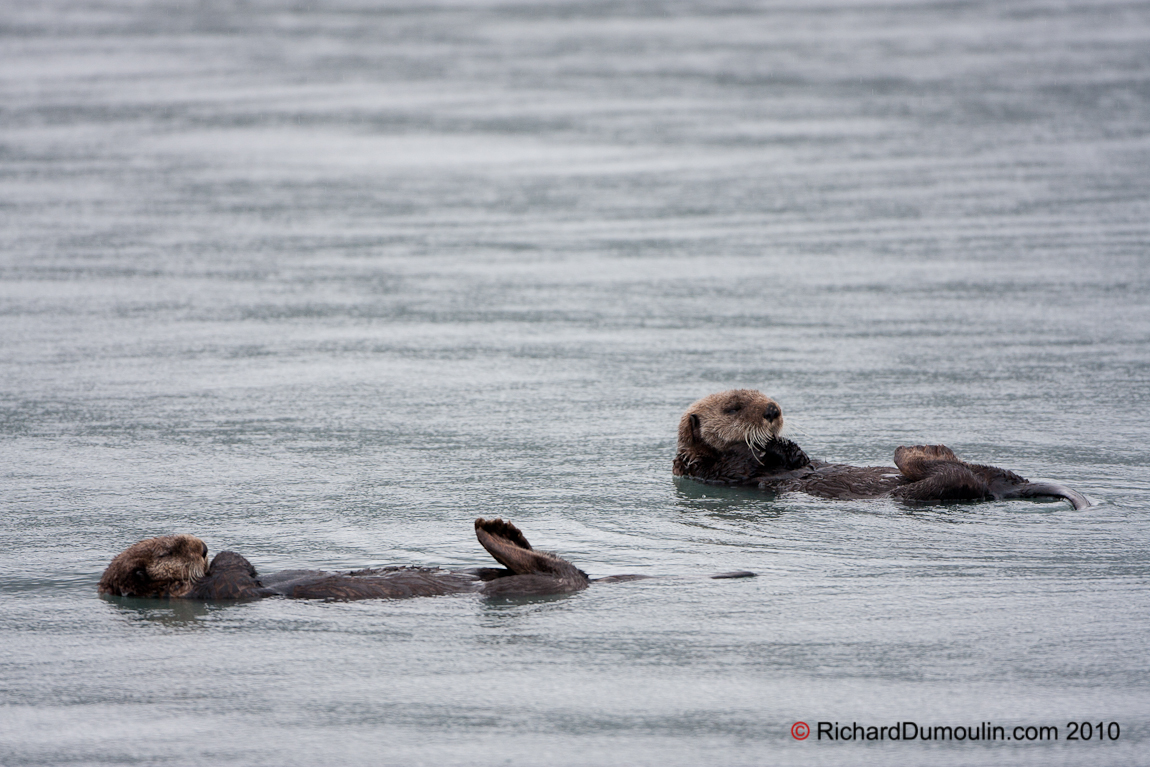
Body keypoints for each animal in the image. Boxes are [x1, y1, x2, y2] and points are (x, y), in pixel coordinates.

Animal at [671, 390, 1090, 510]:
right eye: (733, 407)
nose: (773, 411)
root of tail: (1002, 490)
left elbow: (802, 458)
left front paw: (788, 447)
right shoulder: (717, 470)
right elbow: (744, 465)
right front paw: (769, 447)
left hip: (990, 471)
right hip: (922, 493)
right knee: (950, 477)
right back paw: (914, 452)